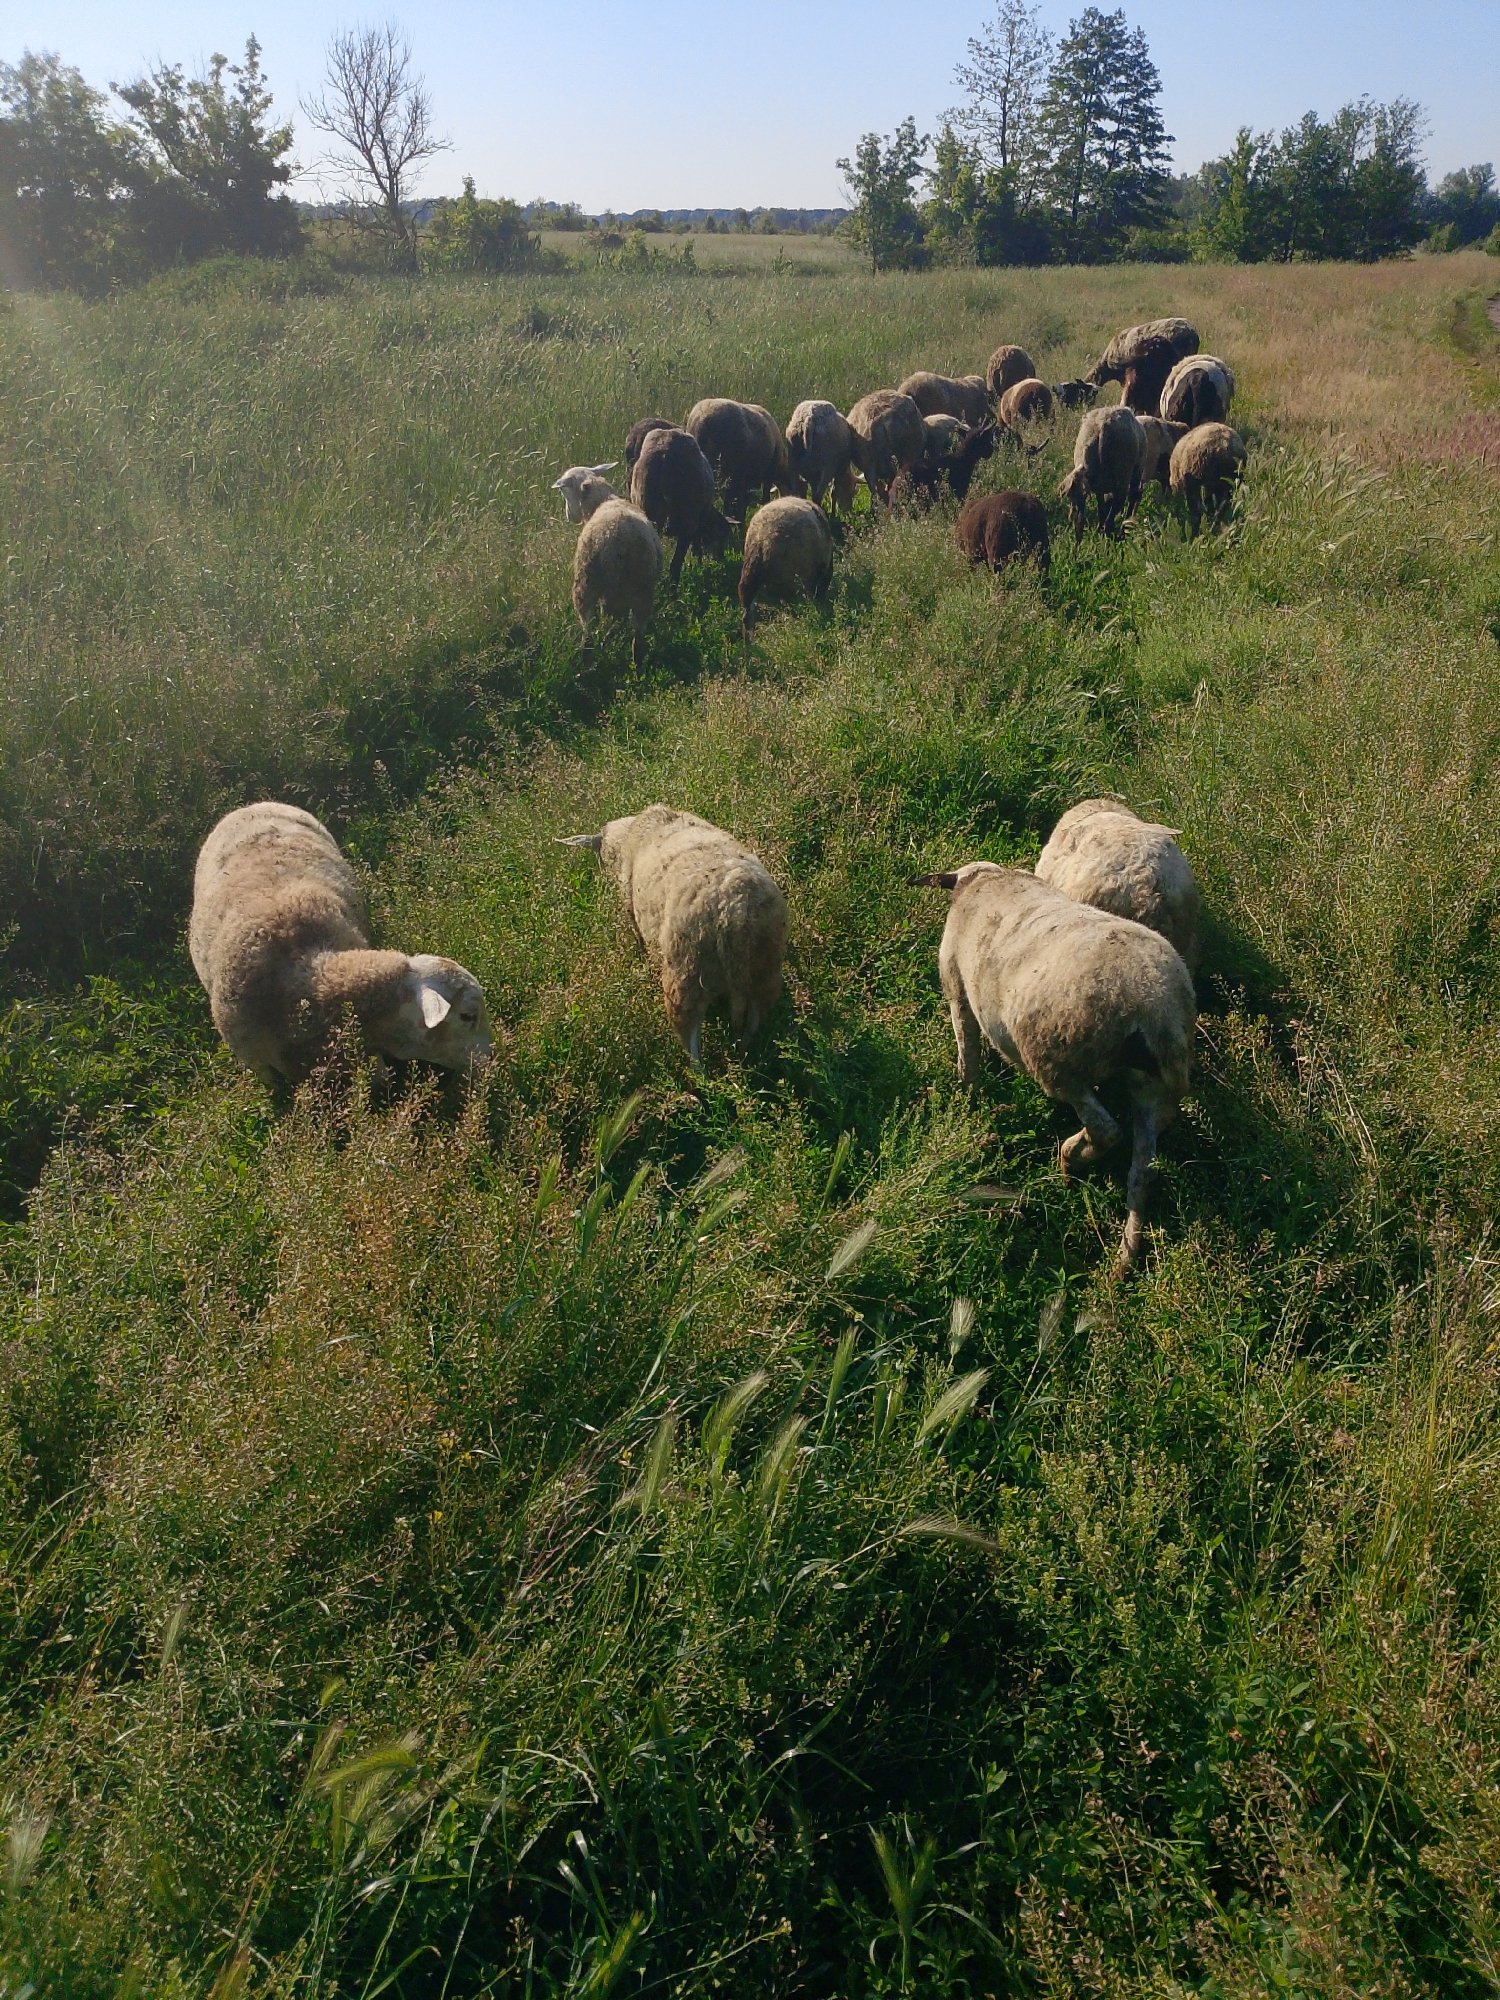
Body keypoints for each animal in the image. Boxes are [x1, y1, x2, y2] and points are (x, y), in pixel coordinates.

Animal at [557, 805, 787, 1067]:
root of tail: (735, 910)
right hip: (765, 967)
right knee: (756, 1017)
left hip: (686, 972)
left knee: (690, 1039)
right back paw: (745, 1055)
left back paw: (699, 1075)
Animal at [629, 426, 730, 588]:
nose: (721, 559)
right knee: (675, 565)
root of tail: (664, 456)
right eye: (722, 534)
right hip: (687, 521)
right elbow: (697, 550)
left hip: (650, 513)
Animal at [911, 862, 1195, 1273]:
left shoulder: (956, 987)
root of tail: (1155, 1009)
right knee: (1143, 1168)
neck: (984, 879)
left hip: (1060, 1059)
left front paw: (966, 1099)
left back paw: (1069, 1161)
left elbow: (968, 1051)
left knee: (1107, 1130)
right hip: (1156, 1087)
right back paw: (1124, 1258)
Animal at [1058, 405, 1147, 542]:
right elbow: (1129, 501)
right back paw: (1111, 539)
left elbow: (1101, 509)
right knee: (1112, 516)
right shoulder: (1136, 475)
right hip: (1123, 476)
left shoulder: (1099, 487)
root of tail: (1102, 427)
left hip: (1086, 480)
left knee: (1082, 518)